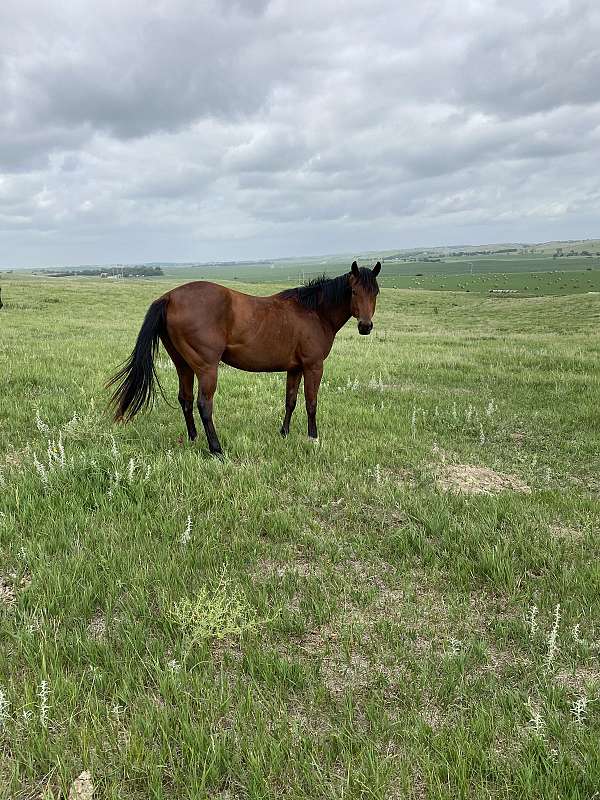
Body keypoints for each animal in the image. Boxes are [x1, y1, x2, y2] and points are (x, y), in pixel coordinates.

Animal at [107, 260, 381, 454]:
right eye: (353, 291)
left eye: (375, 292)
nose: (365, 326)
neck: (313, 311)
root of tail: (169, 297)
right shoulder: (313, 366)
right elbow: (311, 403)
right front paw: (313, 438)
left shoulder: (295, 368)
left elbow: (290, 401)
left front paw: (284, 432)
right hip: (206, 368)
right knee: (204, 404)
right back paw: (216, 449)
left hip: (183, 364)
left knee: (185, 400)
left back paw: (194, 439)